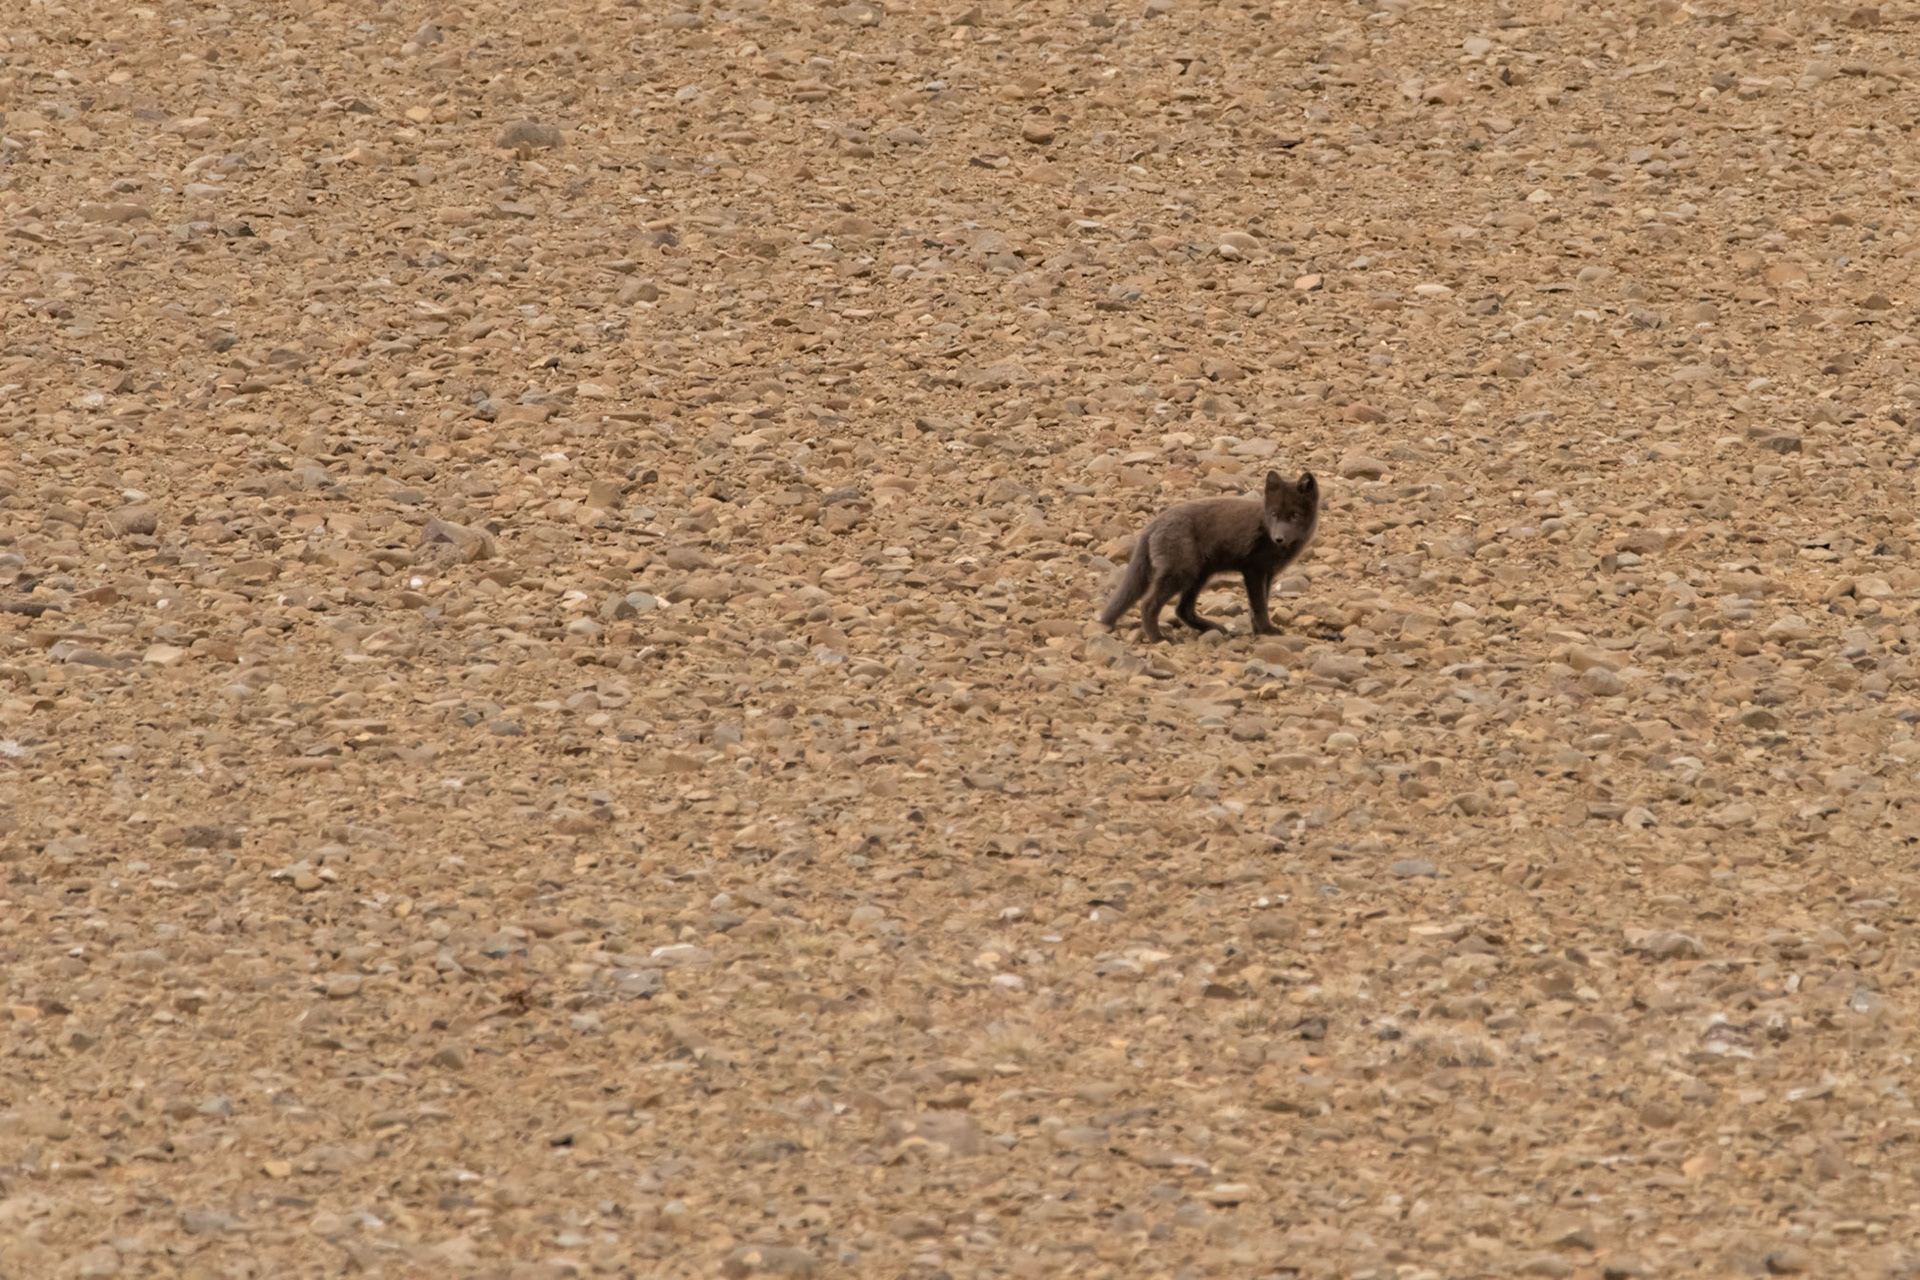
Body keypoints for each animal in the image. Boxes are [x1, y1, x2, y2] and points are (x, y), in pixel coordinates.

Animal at [1099, 470, 1319, 643]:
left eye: (1295, 515)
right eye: (1273, 514)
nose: (1278, 538)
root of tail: (1154, 524)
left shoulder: (1268, 573)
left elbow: (1259, 603)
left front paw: (1259, 630)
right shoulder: (1253, 570)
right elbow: (1258, 604)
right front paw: (1267, 630)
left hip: (1199, 575)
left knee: (1183, 609)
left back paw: (1213, 628)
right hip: (1181, 572)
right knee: (1149, 604)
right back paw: (1159, 638)